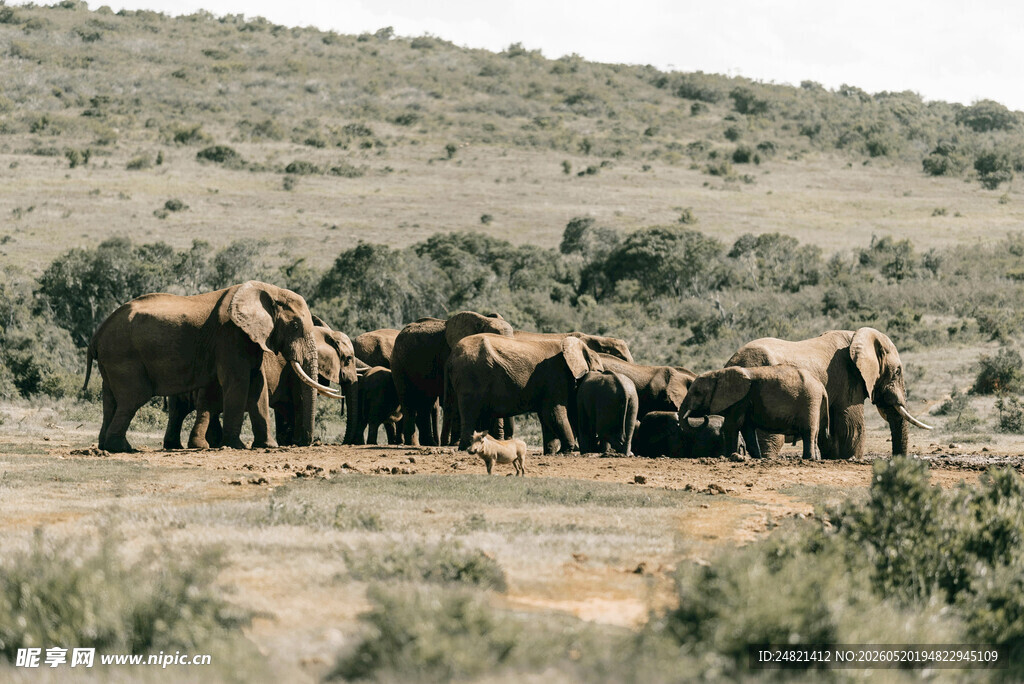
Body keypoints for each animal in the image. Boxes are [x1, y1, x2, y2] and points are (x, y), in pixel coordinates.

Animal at [83, 281, 340, 452]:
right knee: (132, 399)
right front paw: (236, 446)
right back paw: (123, 448)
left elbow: (257, 384)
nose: (305, 442)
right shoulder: (230, 336)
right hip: (124, 357)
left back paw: (105, 446)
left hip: (111, 361)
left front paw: (267, 446)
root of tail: (96, 335)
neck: (267, 291)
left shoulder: (248, 339)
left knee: (111, 400)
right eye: (295, 325)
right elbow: (238, 383)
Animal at [390, 312, 514, 446]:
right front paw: (456, 443)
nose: (506, 439)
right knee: (408, 400)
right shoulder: (449, 354)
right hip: (398, 363)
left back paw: (430, 443)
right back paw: (414, 444)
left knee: (426, 403)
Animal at [446, 334, 605, 454]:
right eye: (598, 371)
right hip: (471, 376)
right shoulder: (556, 376)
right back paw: (466, 449)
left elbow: (545, 416)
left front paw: (550, 452)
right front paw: (566, 451)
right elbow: (553, 412)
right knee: (471, 412)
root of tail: (452, 357)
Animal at [679, 365, 829, 461]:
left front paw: (728, 457)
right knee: (814, 434)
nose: (705, 416)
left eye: (697, 393)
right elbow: (747, 429)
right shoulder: (743, 402)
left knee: (808, 432)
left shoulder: (740, 400)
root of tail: (822, 387)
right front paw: (757, 458)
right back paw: (815, 459)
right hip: (814, 402)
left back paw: (807, 459)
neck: (718, 374)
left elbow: (731, 426)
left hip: (810, 400)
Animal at [727, 328, 932, 459]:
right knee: (771, 440)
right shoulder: (848, 379)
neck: (856, 335)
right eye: (897, 371)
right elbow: (851, 428)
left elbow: (830, 432)